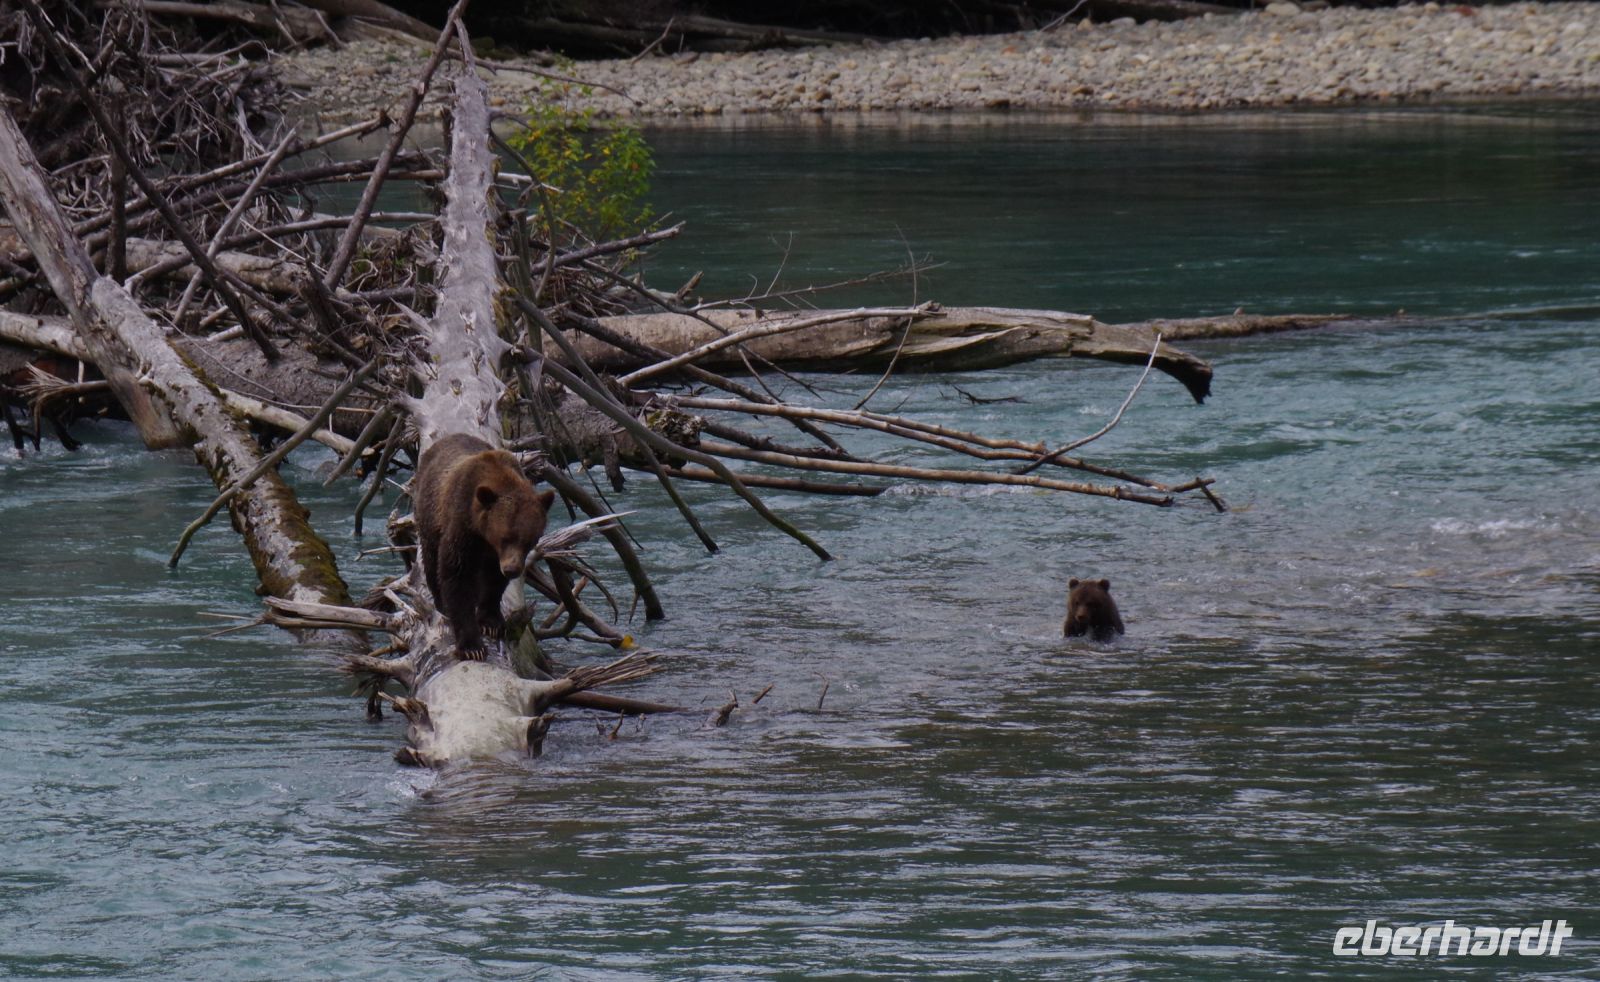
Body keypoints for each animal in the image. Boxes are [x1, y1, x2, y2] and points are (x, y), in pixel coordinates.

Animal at [413, 433, 555, 659]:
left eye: (530, 540)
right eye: (506, 537)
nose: (512, 569)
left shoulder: (494, 554)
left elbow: (493, 580)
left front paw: (491, 623)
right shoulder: (463, 525)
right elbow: (457, 576)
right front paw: (472, 646)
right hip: (429, 514)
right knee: (431, 560)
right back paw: (440, 603)